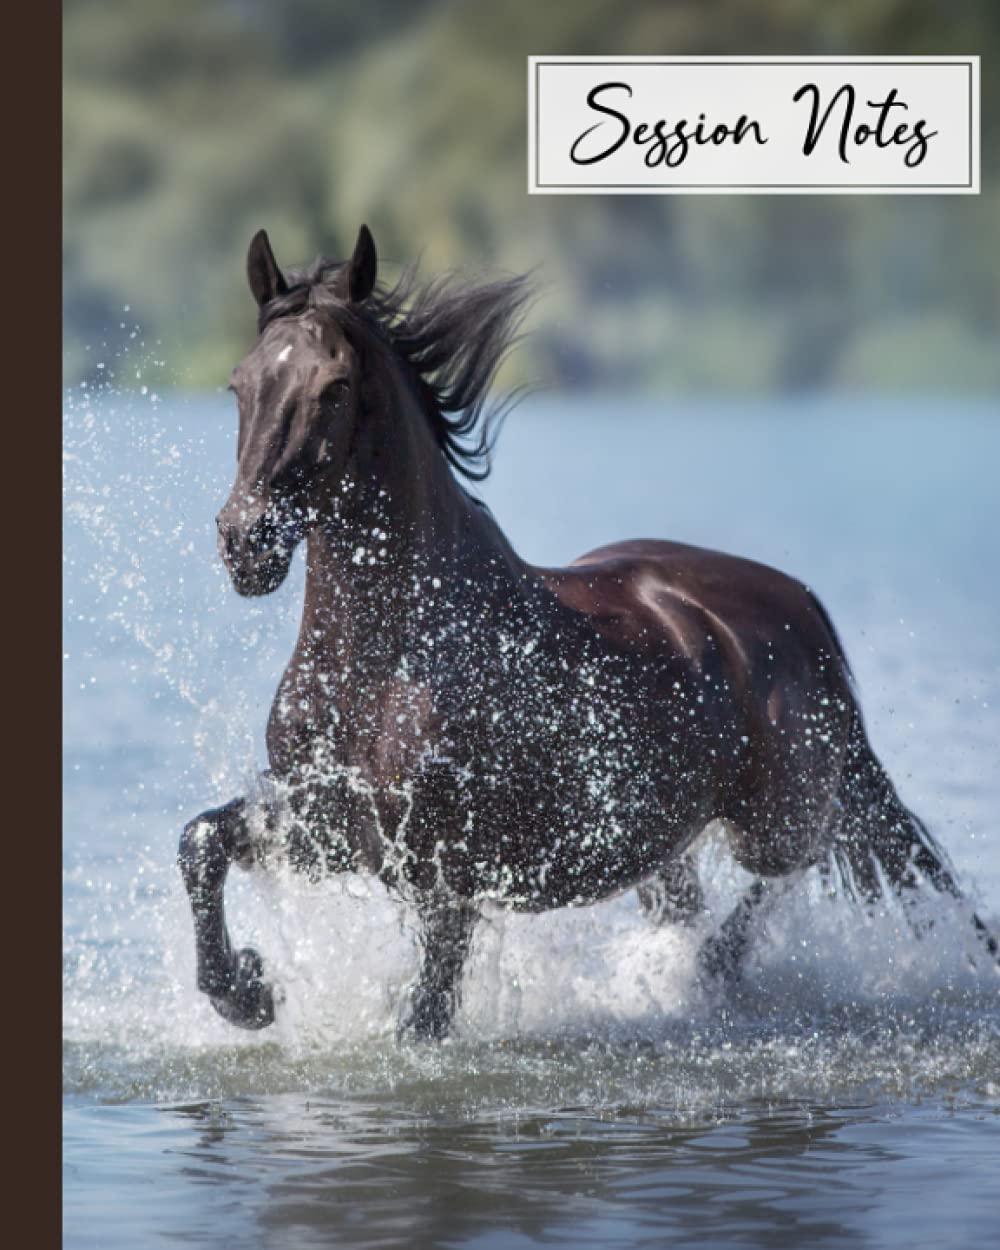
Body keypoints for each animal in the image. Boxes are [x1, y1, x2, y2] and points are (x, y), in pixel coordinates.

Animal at [178, 226, 998, 1039]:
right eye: (240, 384)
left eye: (335, 387)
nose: (245, 541)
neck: (385, 663)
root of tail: (800, 606)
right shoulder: (325, 826)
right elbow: (201, 841)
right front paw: (247, 990)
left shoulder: (443, 874)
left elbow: (425, 1012)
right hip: (665, 840)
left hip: (777, 813)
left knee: (799, 862)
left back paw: (712, 970)